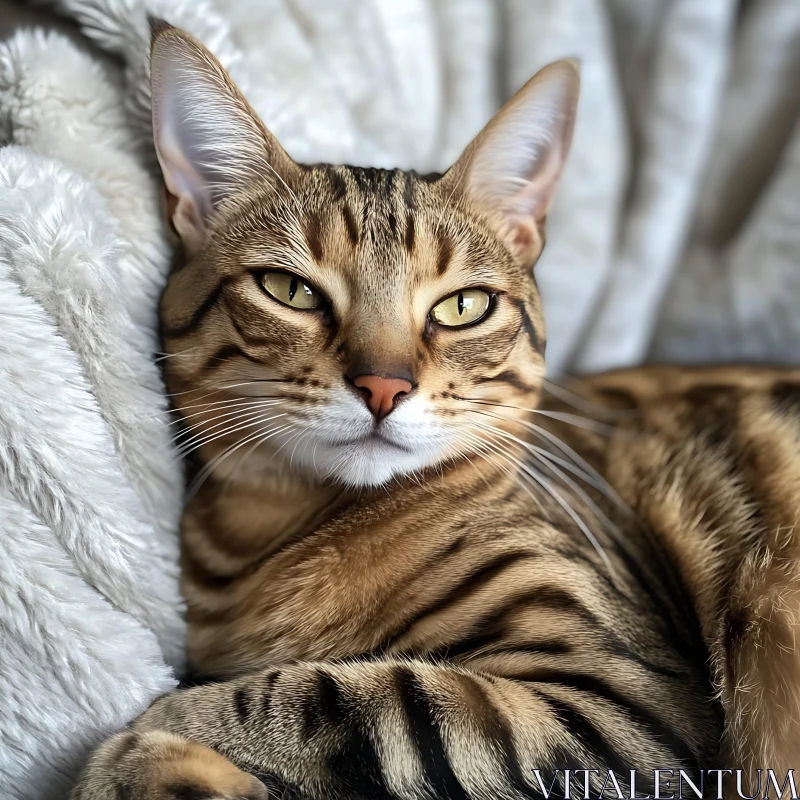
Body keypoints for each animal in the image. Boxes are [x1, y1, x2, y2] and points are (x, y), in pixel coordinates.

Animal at [72, 18, 796, 800]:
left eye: (463, 306)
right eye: (289, 291)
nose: (383, 387)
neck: (280, 536)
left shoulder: (627, 710)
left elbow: (351, 698)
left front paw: (155, 734)